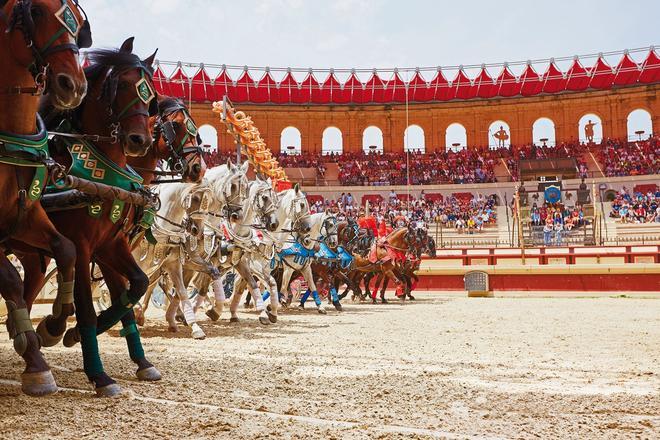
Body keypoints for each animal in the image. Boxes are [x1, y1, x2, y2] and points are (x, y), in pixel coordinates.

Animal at [19, 37, 159, 396]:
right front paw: (98, 374)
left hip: (32, 253)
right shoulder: (81, 246)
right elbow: (84, 307)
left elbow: (135, 287)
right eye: (121, 85)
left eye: (150, 94)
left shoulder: (111, 245)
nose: (140, 140)